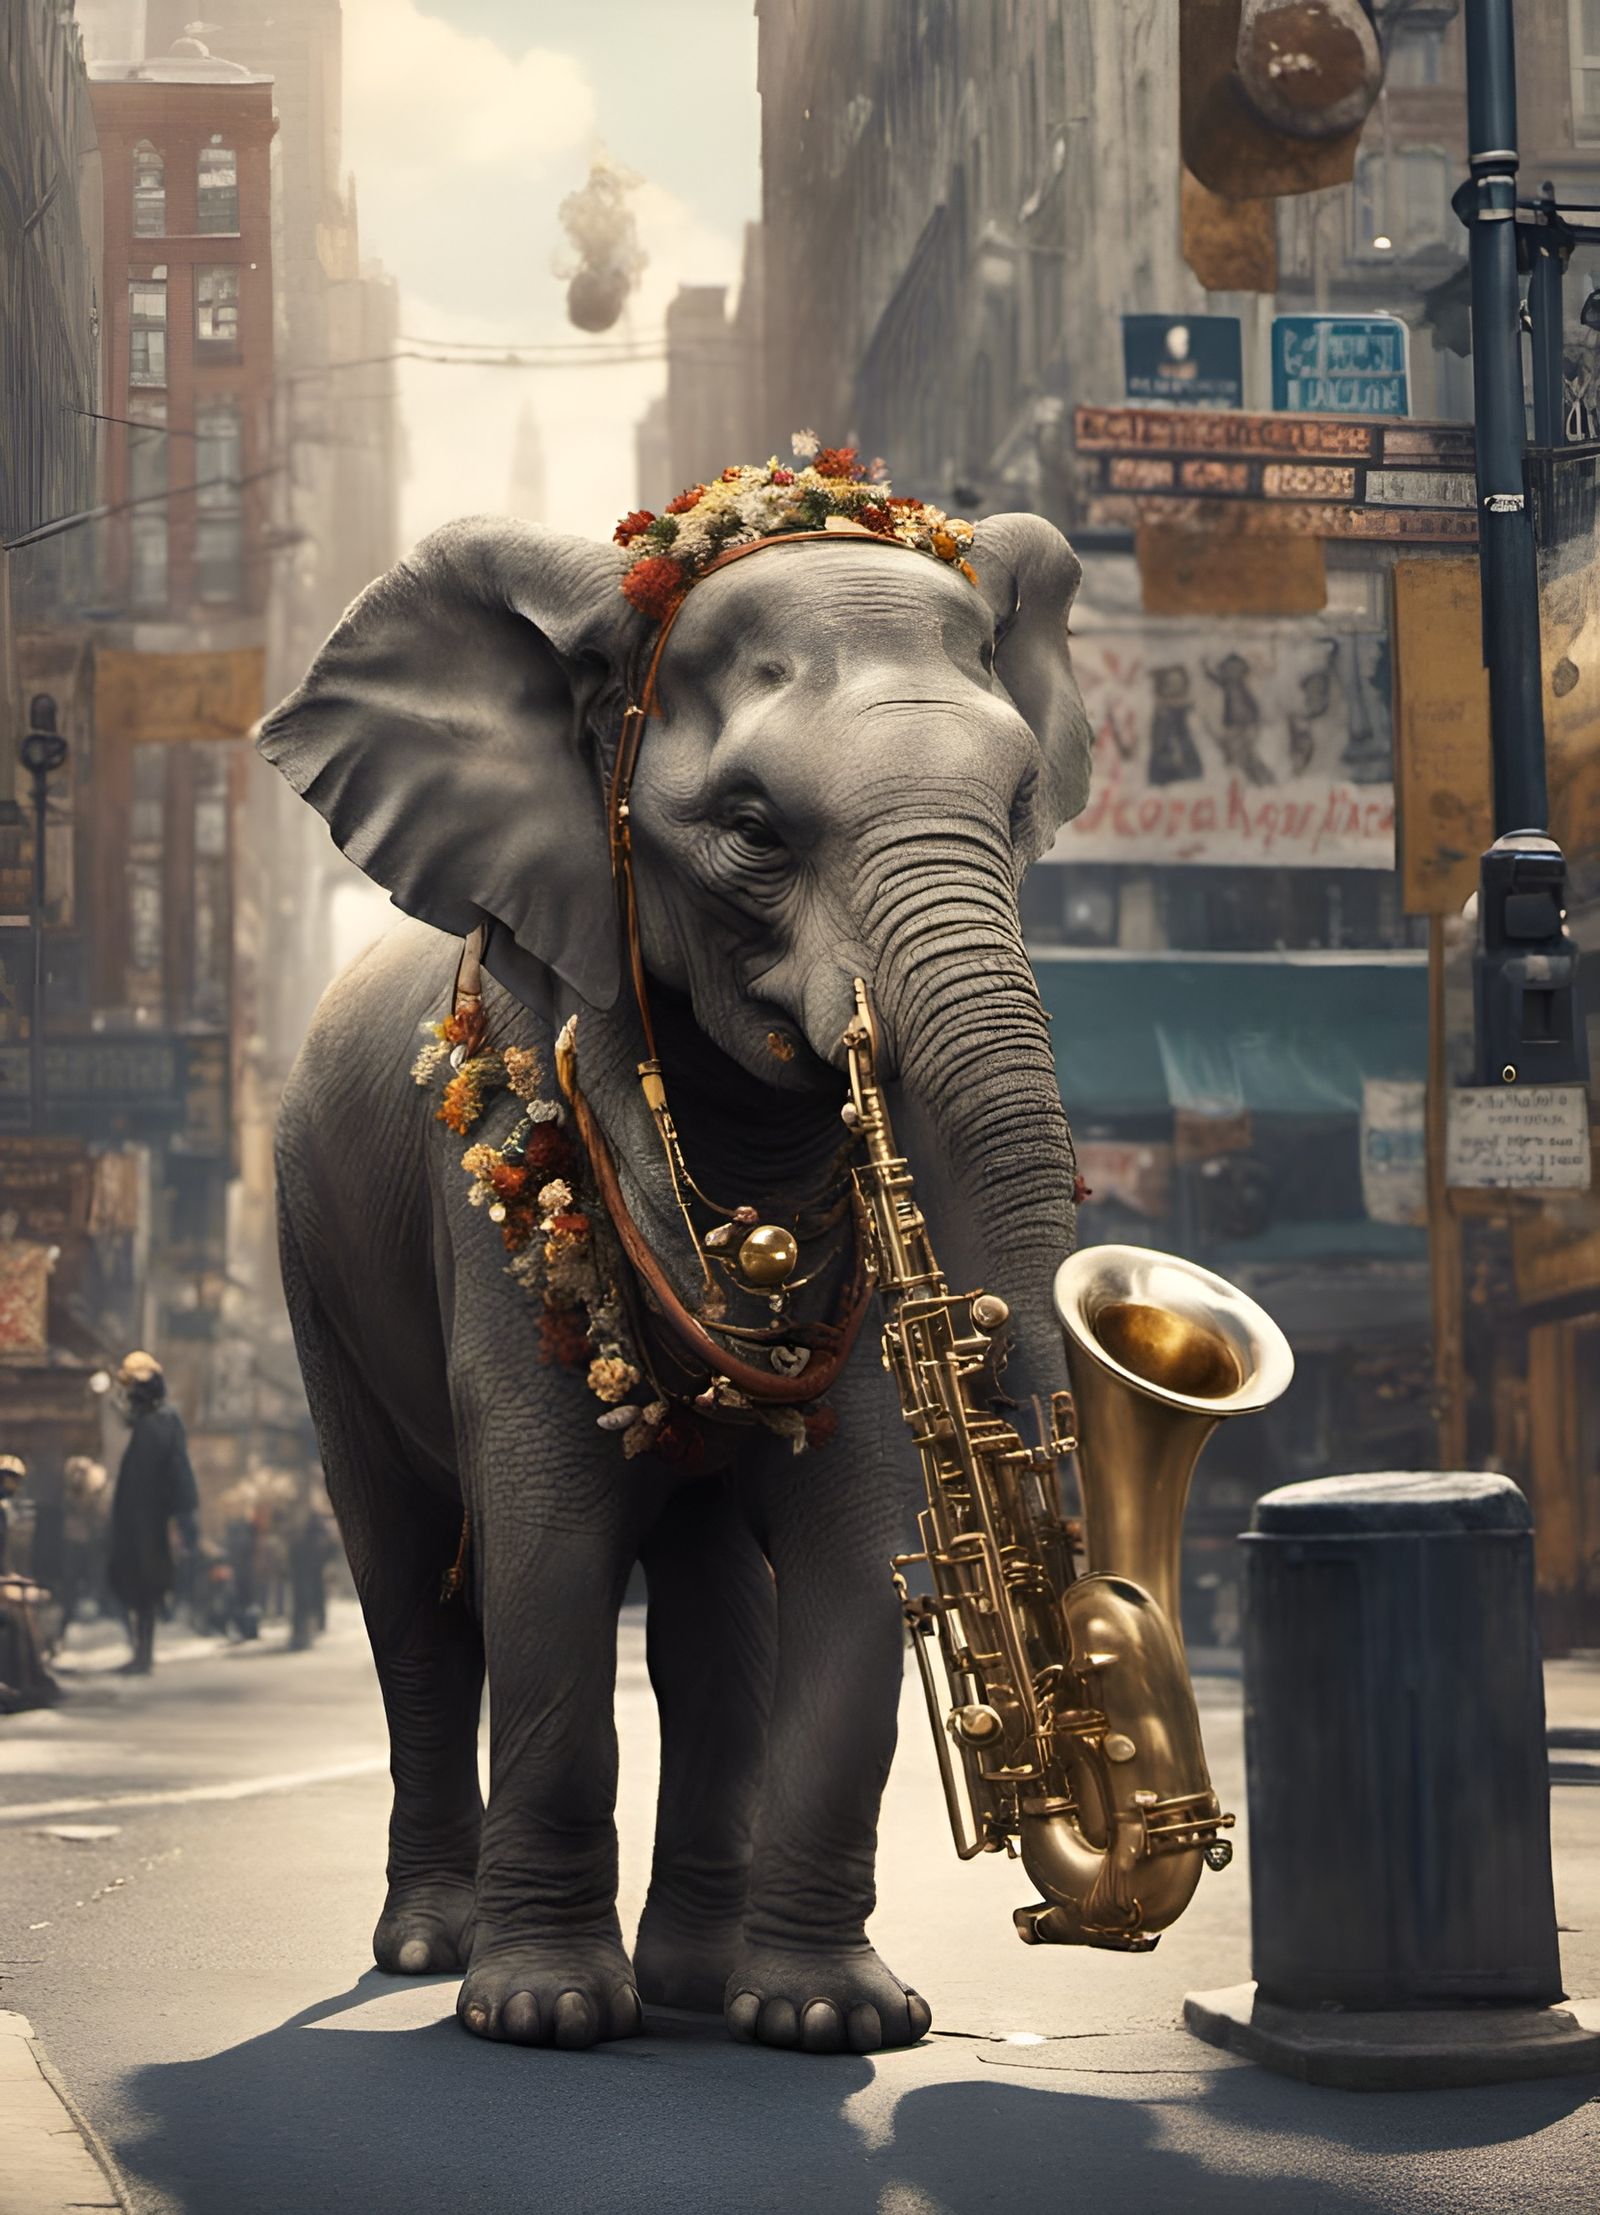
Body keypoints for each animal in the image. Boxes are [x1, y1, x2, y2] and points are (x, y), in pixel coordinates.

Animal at [257, 504, 1092, 2055]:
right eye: (754, 829)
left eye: (1020, 805)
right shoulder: (489, 1184)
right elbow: (546, 1542)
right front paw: (538, 2014)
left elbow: (854, 1543)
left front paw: (834, 2020)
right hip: (314, 1269)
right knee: (409, 1588)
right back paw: (430, 1946)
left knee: (716, 1621)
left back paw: (701, 1982)